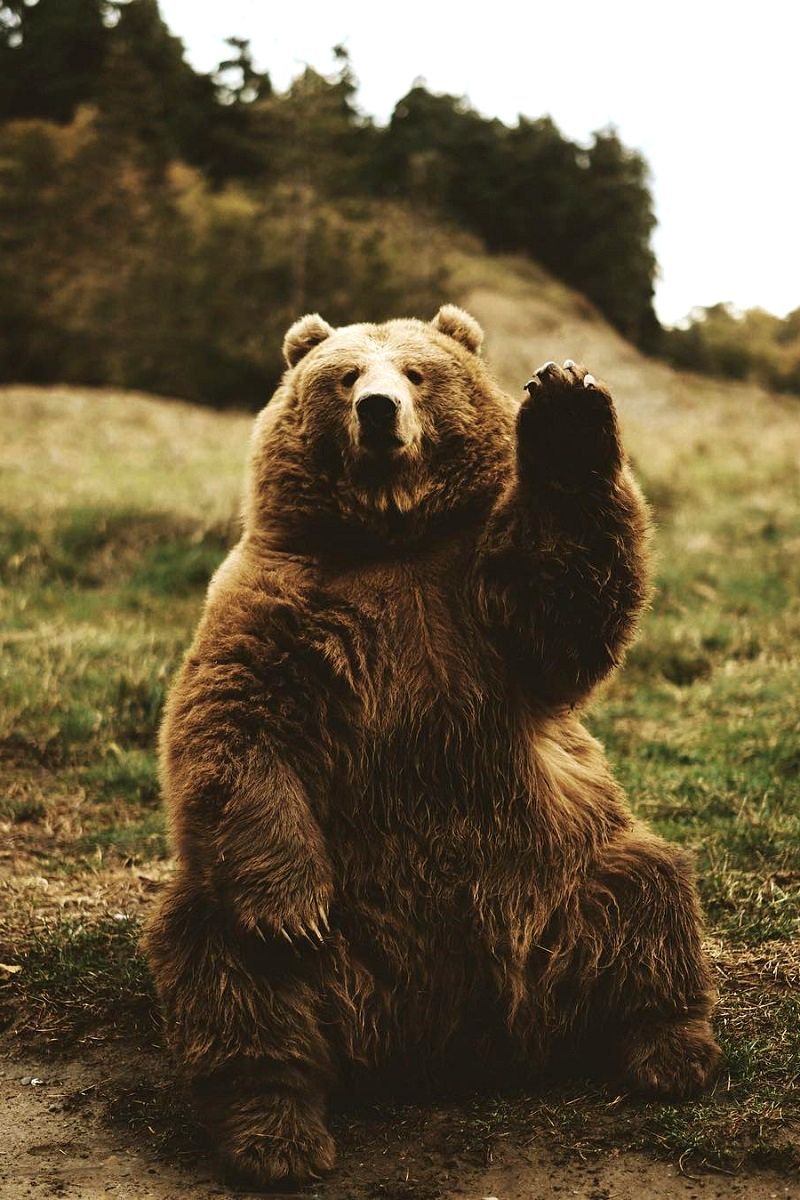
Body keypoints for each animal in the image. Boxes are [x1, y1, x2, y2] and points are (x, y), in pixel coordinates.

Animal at [144, 304, 720, 1189]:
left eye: (417, 372)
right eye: (345, 375)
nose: (379, 410)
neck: (392, 538)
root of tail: (450, 1037)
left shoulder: (476, 608)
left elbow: (567, 609)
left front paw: (565, 415)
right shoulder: (275, 601)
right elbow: (232, 724)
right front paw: (289, 908)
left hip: (561, 877)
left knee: (647, 896)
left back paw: (670, 1049)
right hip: (336, 922)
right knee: (235, 976)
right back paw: (275, 1133)